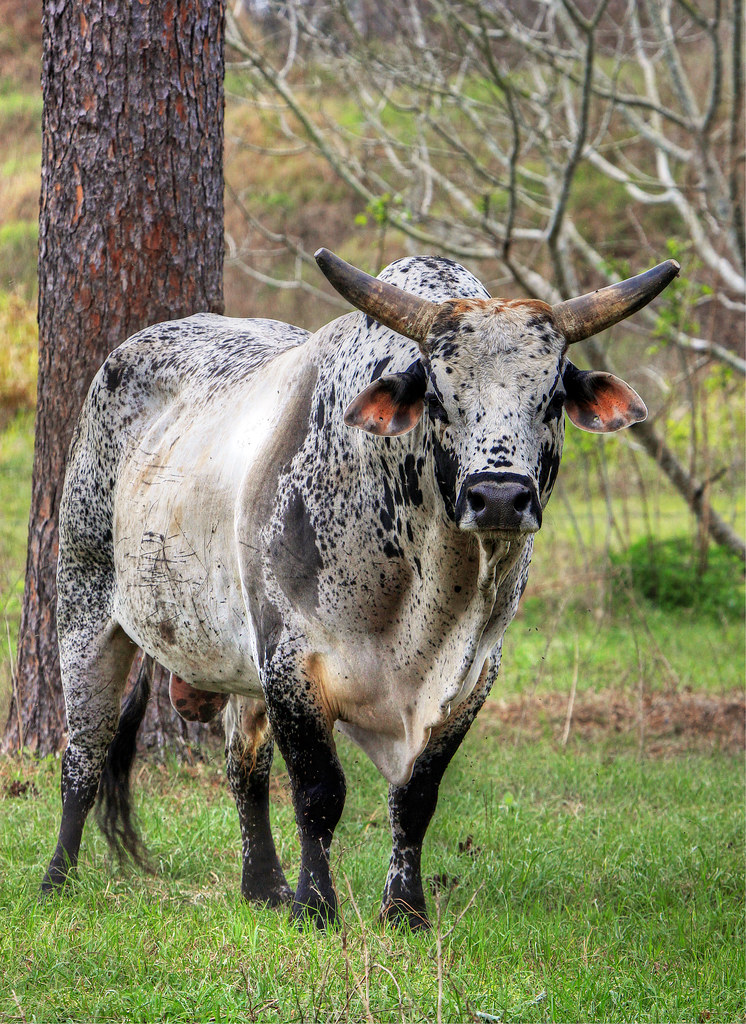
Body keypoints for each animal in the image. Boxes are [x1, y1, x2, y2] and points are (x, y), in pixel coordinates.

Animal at [41, 249, 679, 930]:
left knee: (244, 769)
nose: (500, 497)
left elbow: (415, 798)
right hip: (85, 609)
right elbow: (320, 793)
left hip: (241, 660)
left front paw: (404, 908)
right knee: (83, 760)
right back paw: (58, 880)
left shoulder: (474, 675)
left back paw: (262, 885)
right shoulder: (292, 662)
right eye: (437, 398)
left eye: (554, 397)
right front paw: (315, 907)